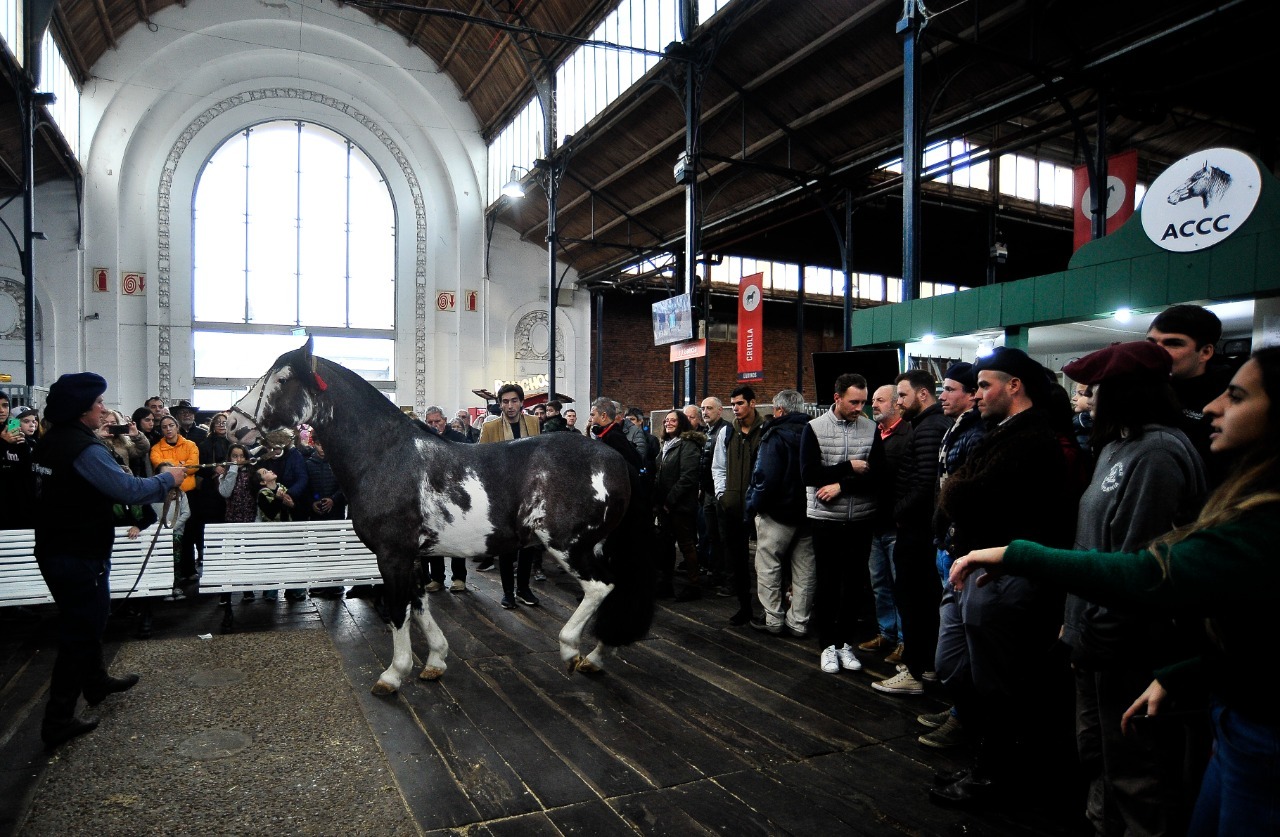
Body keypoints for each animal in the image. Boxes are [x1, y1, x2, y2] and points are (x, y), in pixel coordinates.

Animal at [222, 340, 650, 696]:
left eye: (282, 379)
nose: (232, 425)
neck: (385, 456)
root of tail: (616, 460)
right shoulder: (411, 555)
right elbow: (418, 602)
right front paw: (436, 661)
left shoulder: (391, 555)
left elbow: (398, 610)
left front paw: (393, 674)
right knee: (615, 590)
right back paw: (596, 656)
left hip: (569, 545)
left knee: (600, 587)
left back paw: (571, 650)